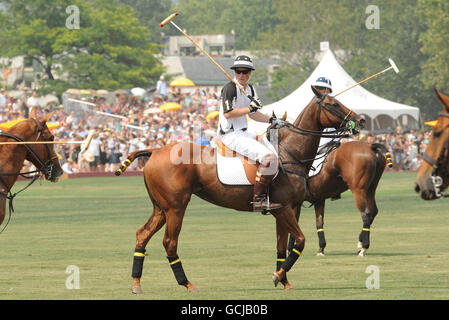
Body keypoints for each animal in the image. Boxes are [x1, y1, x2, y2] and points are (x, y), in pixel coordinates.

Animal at [115, 87, 364, 292]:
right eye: (333, 103)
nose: (360, 120)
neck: (290, 154)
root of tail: (155, 150)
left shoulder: (286, 210)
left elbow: (281, 247)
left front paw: (283, 280)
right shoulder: (282, 208)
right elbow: (300, 241)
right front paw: (277, 276)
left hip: (160, 207)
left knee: (142, 234)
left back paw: (136, 283)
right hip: (176, 207)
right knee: (169, 242)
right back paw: (186, 283)